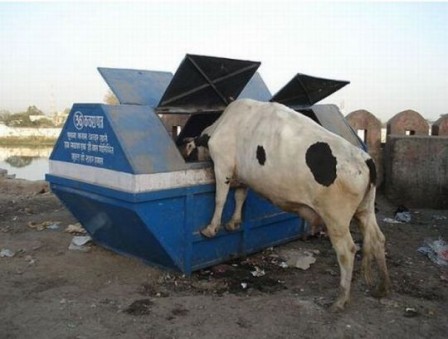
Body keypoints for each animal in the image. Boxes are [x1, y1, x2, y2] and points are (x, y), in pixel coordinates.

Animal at [180, 99, 390, 314]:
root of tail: (365, 160)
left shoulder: (223, 166)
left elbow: (220, 199)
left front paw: (211, 229)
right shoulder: (243, 176)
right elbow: (240, 196)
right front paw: (234, 223)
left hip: (336, 218)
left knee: (347, 251)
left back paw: (340, 300)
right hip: (365, 210)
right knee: (378, 239)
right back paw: (382, 288)